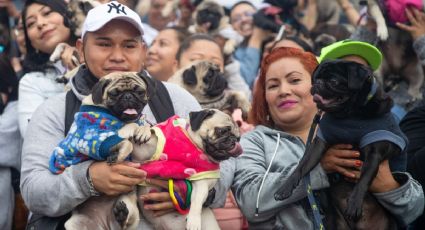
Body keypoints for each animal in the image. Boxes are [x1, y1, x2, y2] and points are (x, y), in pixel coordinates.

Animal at [112, 108, 242, 230]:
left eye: (239, 138)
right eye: (222, 131)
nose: (233, 140)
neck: (193, 144)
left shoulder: (202, 181)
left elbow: (197, 201)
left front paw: (194, 221)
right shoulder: (141, 153)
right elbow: (137, 126)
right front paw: (136, 131)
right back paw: (121, 214)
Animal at [274, 60, 402, 229]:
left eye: (334, 82)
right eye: (315, 78)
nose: (318, 84)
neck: (350, 116)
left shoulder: (374, 152)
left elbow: (364, 178)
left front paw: (354, 203)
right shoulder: (319, 144)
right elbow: (302, 166)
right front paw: (284, 188)